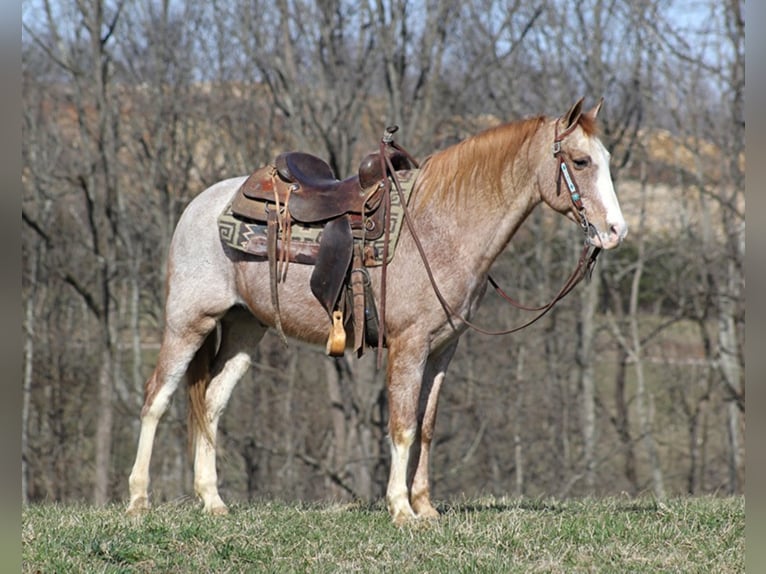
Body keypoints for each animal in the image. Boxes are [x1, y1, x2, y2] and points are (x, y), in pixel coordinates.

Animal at [127, 99, 632, 528]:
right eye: (581, 162)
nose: (616, 231)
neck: (439, 226)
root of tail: (200, 205)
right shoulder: (408, 345)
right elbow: (403, 425)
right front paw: (401, 510)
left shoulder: (443, 348)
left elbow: (426, 426)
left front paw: (426, 507)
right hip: (187, 322)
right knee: (156, 398)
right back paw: (138, 500)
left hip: (244, 329)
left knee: (211, 402)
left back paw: (213, 501)